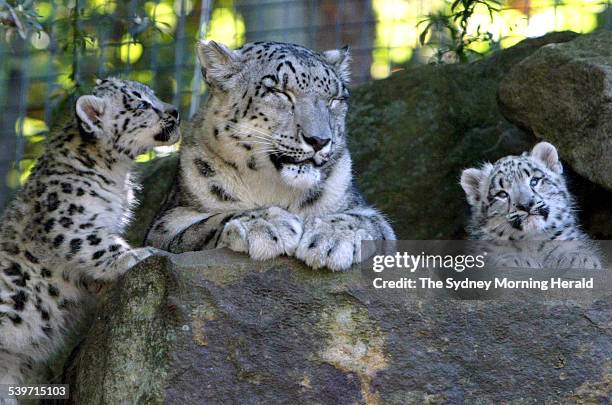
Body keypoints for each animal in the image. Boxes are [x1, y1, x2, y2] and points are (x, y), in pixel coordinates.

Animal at [0, 76, 180, 394]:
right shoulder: (68, 222)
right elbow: (98, 245)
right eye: (141, 105)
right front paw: (138, 254)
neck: (118, 175)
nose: (175, 111)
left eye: (153, 96)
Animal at [146, 41, 394, 270]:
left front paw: (331, 237)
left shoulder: (365, 211)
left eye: (334, 99)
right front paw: (268, 224)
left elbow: (365, 220)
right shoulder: (167, 221)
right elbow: (207, 222)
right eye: (279, 92)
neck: (275, 188)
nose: (319, 140)